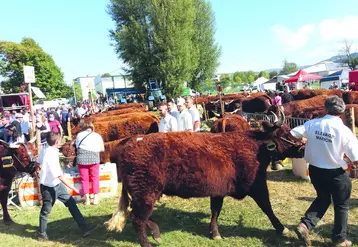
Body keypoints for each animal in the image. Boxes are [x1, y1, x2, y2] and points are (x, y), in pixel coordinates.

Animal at [106, 115, 304, 246]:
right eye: (287, 133)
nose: (303, 146)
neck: (254, 147)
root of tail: (131, 142)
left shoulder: (218, 190)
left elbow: (215, 211)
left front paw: (214, 233)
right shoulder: (257, 186)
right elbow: (267, 207)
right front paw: (282, 228)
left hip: (146, 193)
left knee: (139, 215)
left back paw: (156, 233)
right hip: (145, 192)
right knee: (137, 218)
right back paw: (148, 241)